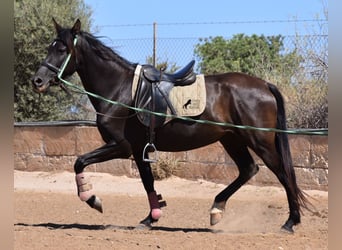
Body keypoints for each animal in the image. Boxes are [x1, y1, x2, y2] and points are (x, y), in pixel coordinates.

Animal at [32, 18, 308, 233]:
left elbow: (79, 161)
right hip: (232, 139)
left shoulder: (120, 146)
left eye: (62, 49)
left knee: (283, 174)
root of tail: (265, 85)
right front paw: (151, 217)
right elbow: (148, 183)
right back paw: (216, 209)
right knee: (248, 170)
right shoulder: (138, 150)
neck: (120, 89)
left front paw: (93, 199)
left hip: (259, 141)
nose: (38, 80)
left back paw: (290, 222)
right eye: (50, 47)